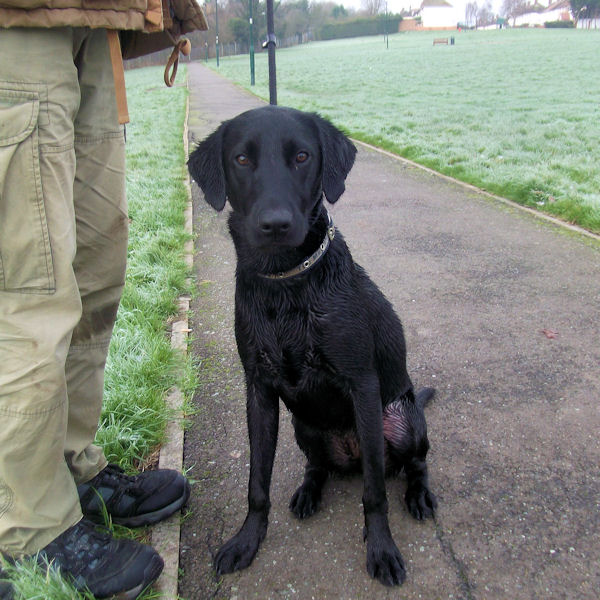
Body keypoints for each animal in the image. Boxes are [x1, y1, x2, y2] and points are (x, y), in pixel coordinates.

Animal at [189, 106, 436, 584]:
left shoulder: (363, 387)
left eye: (302, 156)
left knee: (413, 465)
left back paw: (418, 494)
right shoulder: (259, 390)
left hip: (399, 419)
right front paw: (247, 540)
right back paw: (308, 490)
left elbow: (375, 492)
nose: (275, 224)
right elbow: (257, 483)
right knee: (317, 466)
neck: (285, 285)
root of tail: (349, 453)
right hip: (304, 426)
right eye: (241, 159)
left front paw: (382, 549)